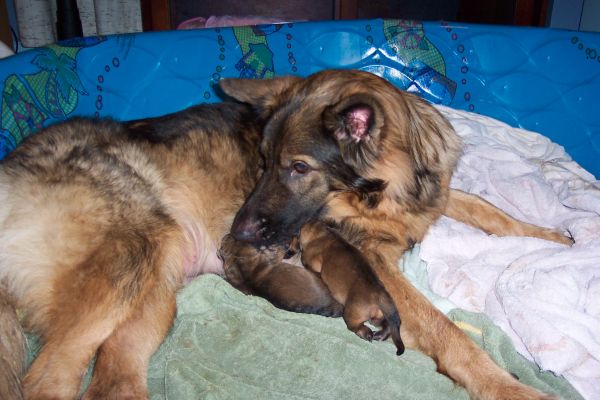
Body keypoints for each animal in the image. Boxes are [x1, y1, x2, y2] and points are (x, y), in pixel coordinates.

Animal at [298, 220, 405, 355]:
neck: (324, 233)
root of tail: (380, 295)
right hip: (378, 317)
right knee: (387, 327)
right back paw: (379, 335)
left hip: (352, 313)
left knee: (356, 326)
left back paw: (366, 334)